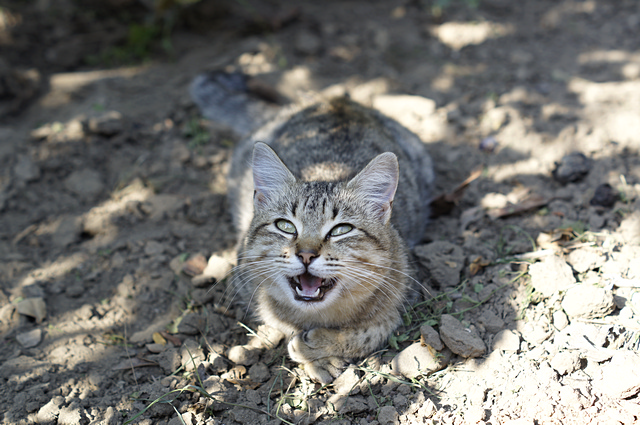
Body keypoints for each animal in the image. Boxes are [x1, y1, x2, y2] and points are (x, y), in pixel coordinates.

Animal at [188, 71, 432, 382]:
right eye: (285, 226)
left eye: (341, 229)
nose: (305, 254)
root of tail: (330, 100)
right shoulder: (244, 283)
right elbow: (277, 317)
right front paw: (314, 354)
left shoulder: (408, 291)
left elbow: (374, 328)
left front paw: (319, 347)